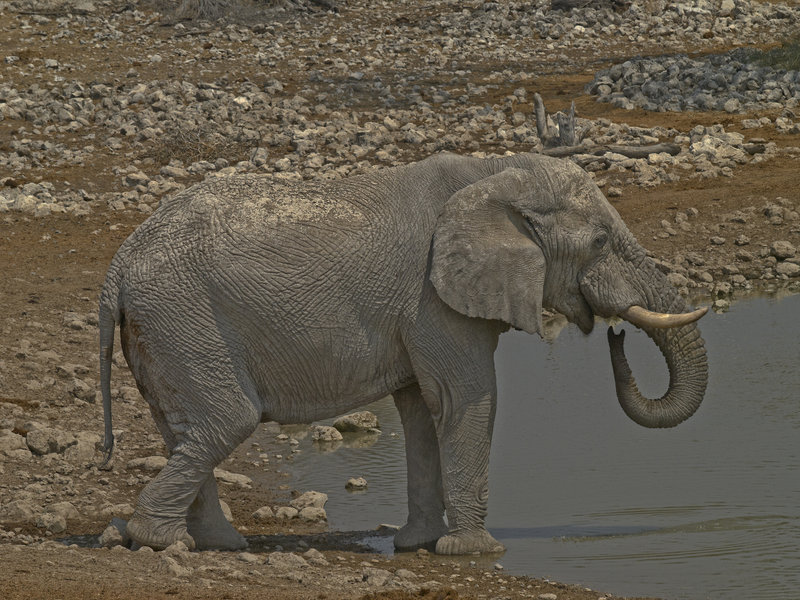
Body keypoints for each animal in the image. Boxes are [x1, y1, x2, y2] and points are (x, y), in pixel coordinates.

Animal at [98, 152, 708, 556]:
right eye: (601, 241)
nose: (615, 335)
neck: (494, 174)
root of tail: (118, 265)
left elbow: (420, 408)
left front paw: (420, 544)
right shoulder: (433, 299)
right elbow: (464, 398)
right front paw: (476, 551)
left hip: (168, 330)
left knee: (185, 430)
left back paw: (216, 544)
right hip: (185, 317)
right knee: (226, 420)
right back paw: (163, 542)